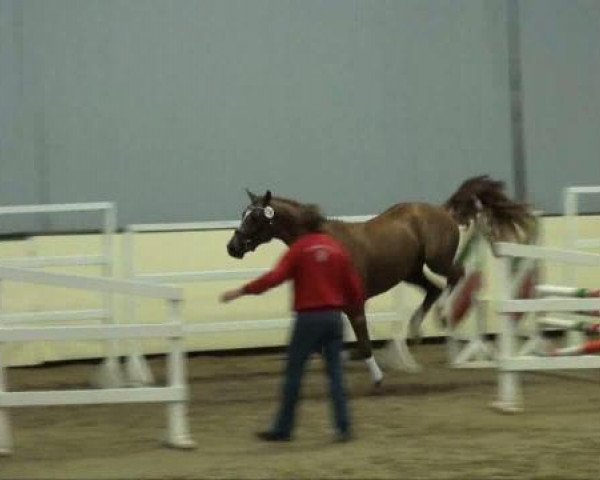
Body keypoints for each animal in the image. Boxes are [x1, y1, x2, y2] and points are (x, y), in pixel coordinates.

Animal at [226, 175, 536, 382]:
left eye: (254, 218)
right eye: (243, 214)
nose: (232, 247)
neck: (324, 245)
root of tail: (442, 210)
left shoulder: (355, 303)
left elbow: (362, 342)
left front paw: (377, 375)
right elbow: (329, 347)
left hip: (436, 261)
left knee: (455, 276)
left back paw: (442, 316)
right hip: (411, 272)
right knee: (433, 289)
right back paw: (416, 330)